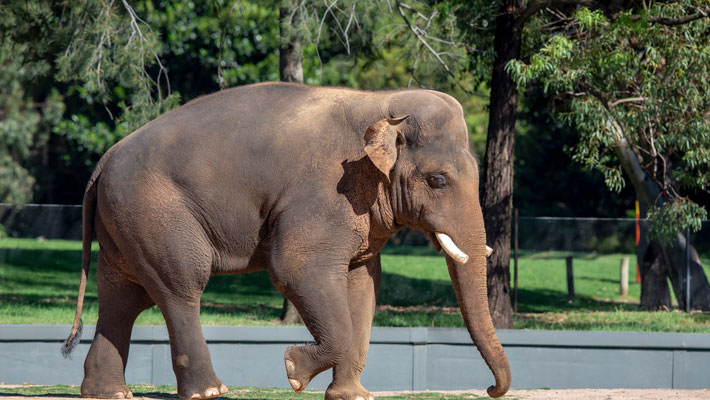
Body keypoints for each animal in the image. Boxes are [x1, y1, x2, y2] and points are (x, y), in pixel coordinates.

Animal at [62, 81, 512, 400]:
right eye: (438, 180)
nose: (491, 390)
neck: (383, 104)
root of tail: (104, 160)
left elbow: (363, 284)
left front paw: (351, 396)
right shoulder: (325, 194)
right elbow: (296, 268)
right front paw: (293, 371)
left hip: (124, 221)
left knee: (123, 298)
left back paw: (108, 393)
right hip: (155, 212)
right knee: (180, 287)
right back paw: (209, 391)